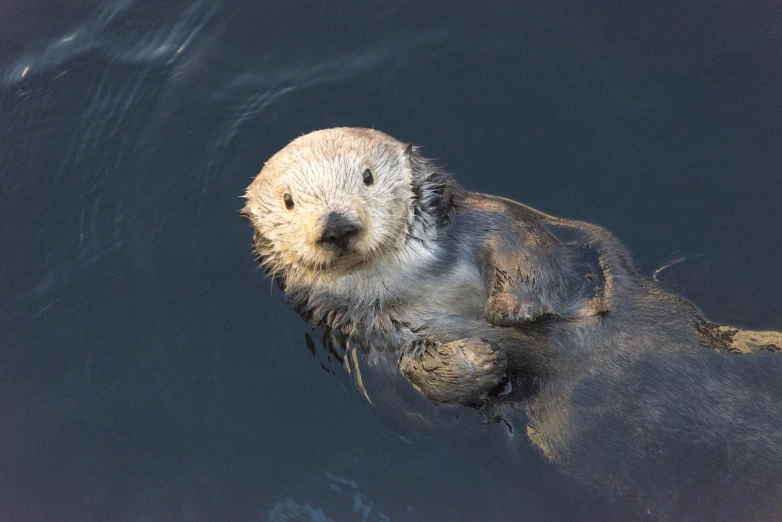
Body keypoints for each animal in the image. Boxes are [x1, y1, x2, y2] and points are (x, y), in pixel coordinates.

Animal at [242, 126, 780, 516]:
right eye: (289, 201)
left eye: (368, 176)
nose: (335, 226)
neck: (412, 281)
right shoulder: (369, 337)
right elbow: (414, 378)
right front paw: (481, 357)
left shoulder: (493, 219)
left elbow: (524, 248)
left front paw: (510, 310)